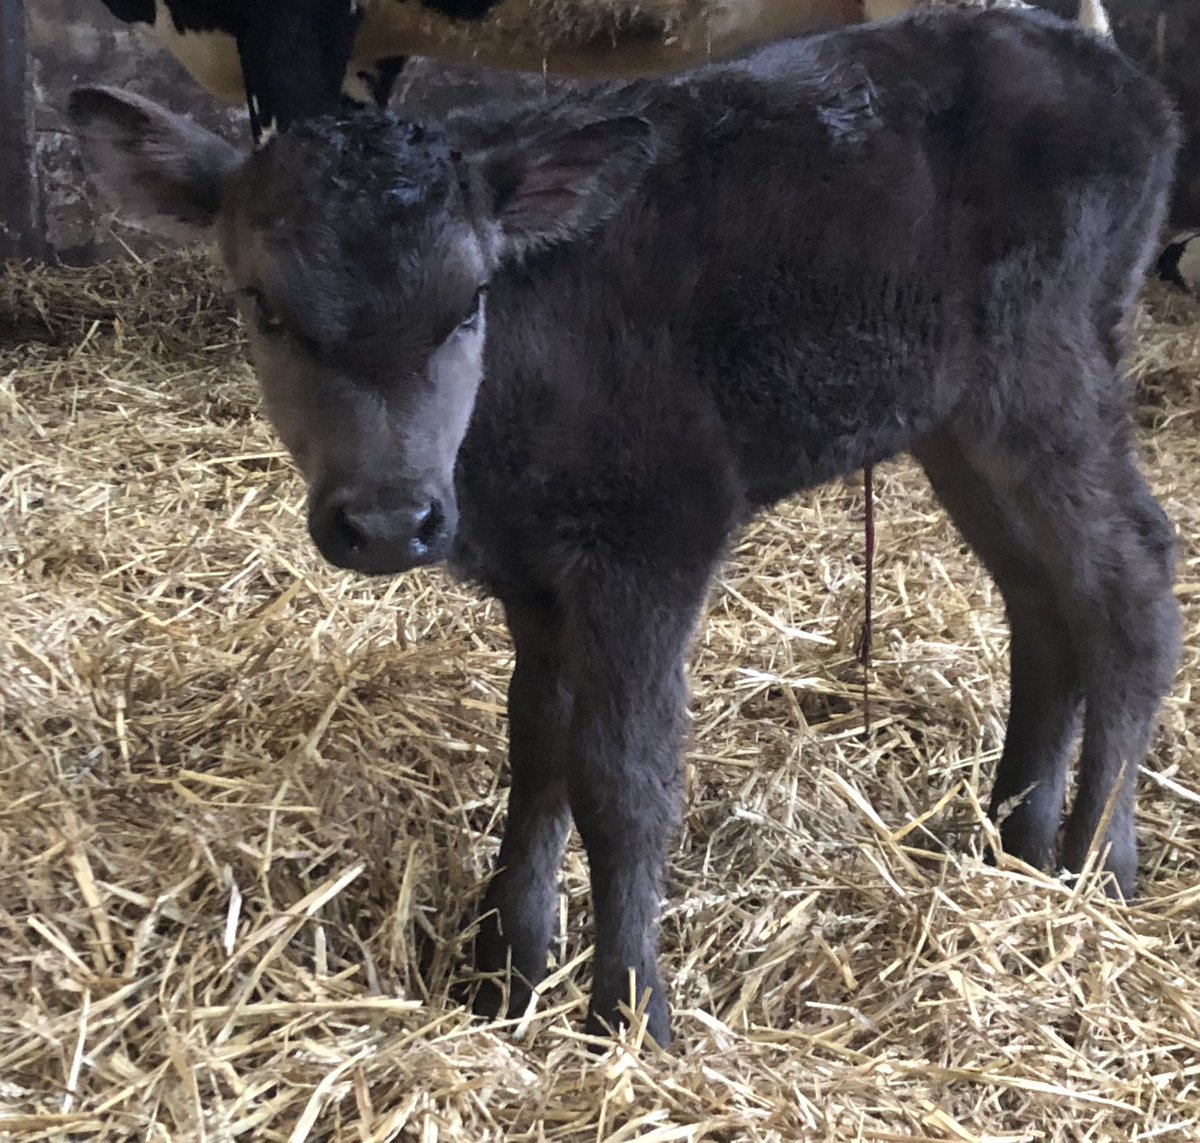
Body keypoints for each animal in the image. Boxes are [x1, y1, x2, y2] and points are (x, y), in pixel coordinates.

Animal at [70, 4, 1180, 1047]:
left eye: (470, 302)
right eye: (265, 307)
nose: (388, 522)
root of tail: (1110, 71)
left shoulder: (654, 537)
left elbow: (622, 778)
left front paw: (630, 1013)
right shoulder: (532, 574)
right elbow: (538, 753)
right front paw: (506, 976)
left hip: (1042, 367)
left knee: (1128, 583)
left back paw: (1097, 866)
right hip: (956, 414)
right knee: (1040, 598)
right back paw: (1013, 839)